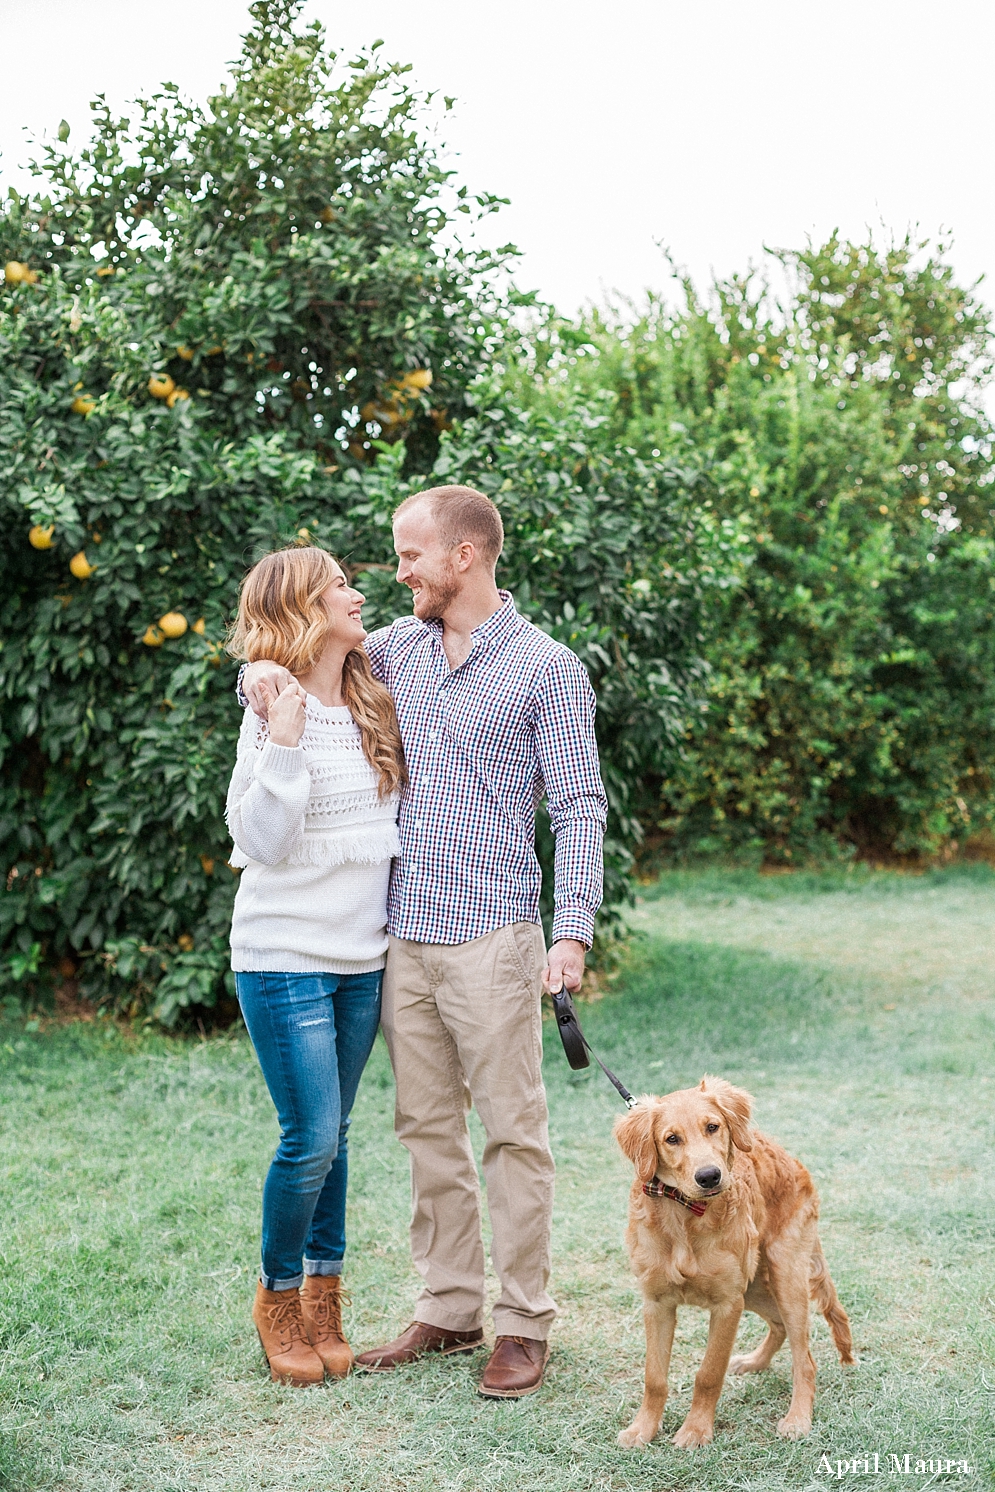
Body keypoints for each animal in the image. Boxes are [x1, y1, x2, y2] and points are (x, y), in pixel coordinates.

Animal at [614, 1080, 859, 1450]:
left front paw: (696, 1430)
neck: (686, 1214)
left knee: (804, 1359)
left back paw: (798, 1418)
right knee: (779, 1324)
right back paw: (755, 1362)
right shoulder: (656, 1303)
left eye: (713, 1127)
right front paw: (643, 1429)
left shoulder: (727, 1304)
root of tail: (787, 1157)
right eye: (672, 1139)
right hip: (755, 1285)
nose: (709, 1177)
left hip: (785, 1275)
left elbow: (708, 1373)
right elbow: (654, 1378)